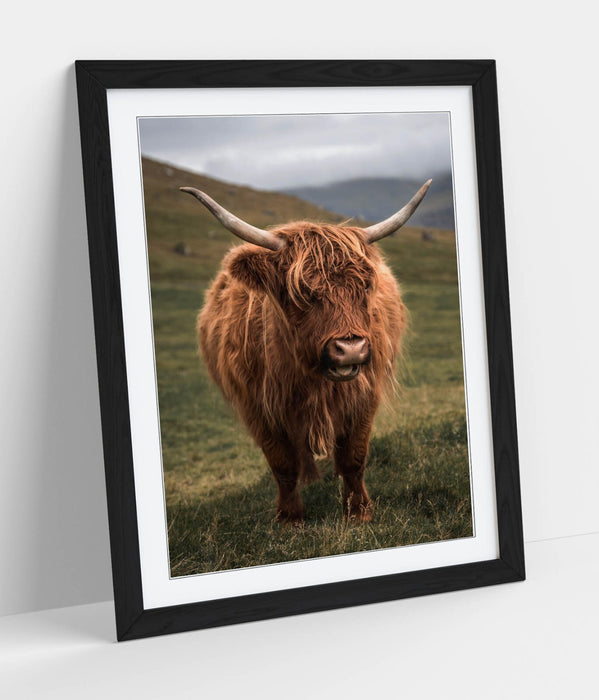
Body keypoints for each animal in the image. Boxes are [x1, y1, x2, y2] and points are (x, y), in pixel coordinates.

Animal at [180, 180, 431, 524]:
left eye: (366, 286)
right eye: (302, 291)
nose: (350, 349)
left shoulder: (365, 394)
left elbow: (354, 457)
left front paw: (359, 512)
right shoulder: (258, 406)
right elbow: (282, 464)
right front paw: (290, 517)